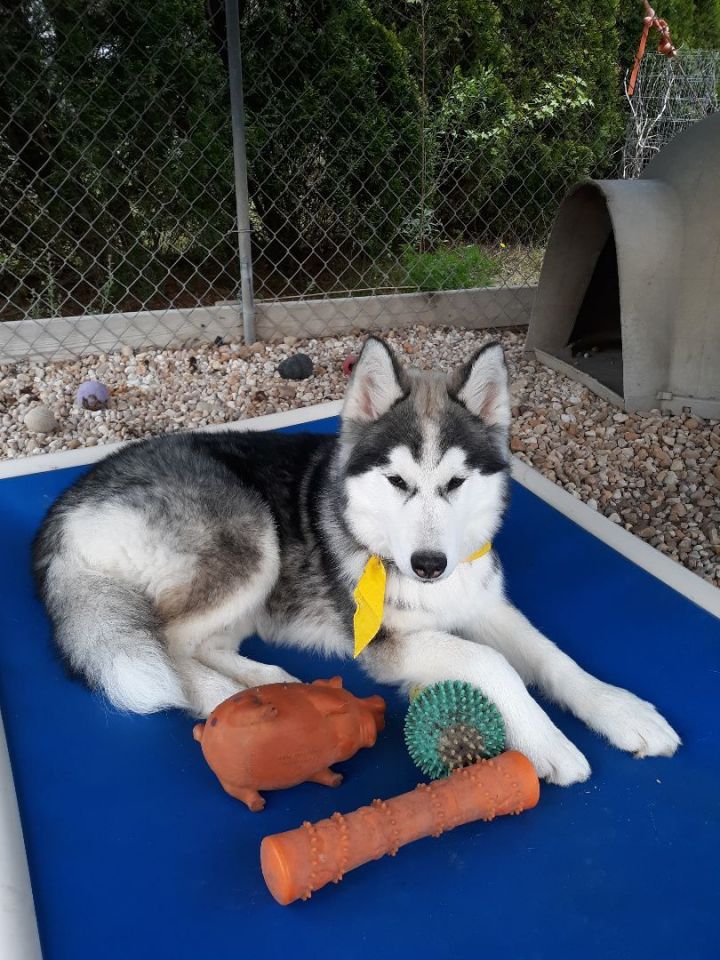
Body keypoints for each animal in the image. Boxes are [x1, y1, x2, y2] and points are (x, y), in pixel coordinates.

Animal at [32, 336, 680, 780]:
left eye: (455, 483)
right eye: (396, 481)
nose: (428, 565)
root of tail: (65, 506)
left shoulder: (484, 602)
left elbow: (552, 657)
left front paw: (620, 709)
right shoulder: (387, 642)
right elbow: (490, 662)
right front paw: (547, 742)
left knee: (202, 643)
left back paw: (263, 683)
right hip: (252, 538)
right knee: (166, 644)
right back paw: (223, 703)